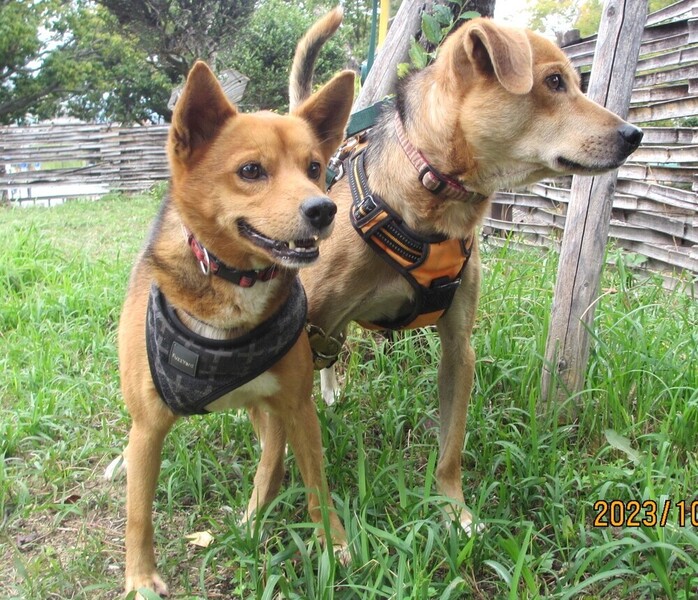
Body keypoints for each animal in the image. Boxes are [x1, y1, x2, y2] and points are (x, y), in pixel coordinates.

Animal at [116, 57, 354, 595]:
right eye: (250, 171)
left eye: (314, 168)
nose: (323, 209)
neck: (234, 281)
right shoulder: (148, 428)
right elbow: (138, 513)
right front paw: (139, 578)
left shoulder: (296, 406)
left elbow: (315, 481)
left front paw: (334, 544)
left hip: (270, 406)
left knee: (272, 458)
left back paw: (254, 518)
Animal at [291, 11, 643, 534]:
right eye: (554, 82)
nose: (633, 134)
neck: (430, 195)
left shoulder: (460, 348)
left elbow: (450, 448)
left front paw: (454, 512)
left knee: (334, 354)